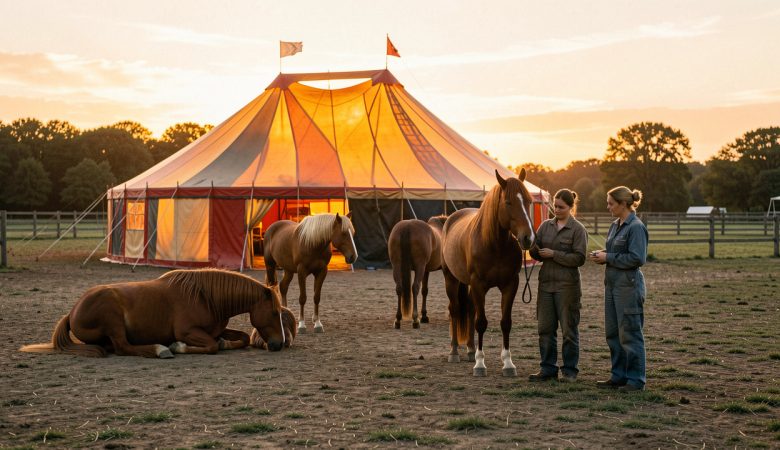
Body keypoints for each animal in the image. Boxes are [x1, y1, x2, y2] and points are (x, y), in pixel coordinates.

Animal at [20, 268, 294, 358]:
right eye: (273, 312)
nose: (279, 344)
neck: (205, 297)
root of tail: (72, 312)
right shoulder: (187, 331)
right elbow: (211, 346)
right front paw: (177, 347)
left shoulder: (218, 327)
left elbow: (241, 338)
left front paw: (226, 342)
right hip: (113, 317)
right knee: (123, 347)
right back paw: (160, 349)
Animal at [441, 169, 536, 377]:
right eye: (508, 202)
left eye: (529, 201)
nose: (528, 238)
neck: (494, 245)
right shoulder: (478, 285)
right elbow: (481, 322)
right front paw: (480, 364)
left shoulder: (510, 285)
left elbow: (505, 322)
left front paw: (508, 364)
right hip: (451, 279)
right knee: (454, 310)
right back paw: (454, 352)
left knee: (469, 309)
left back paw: (470, 350)